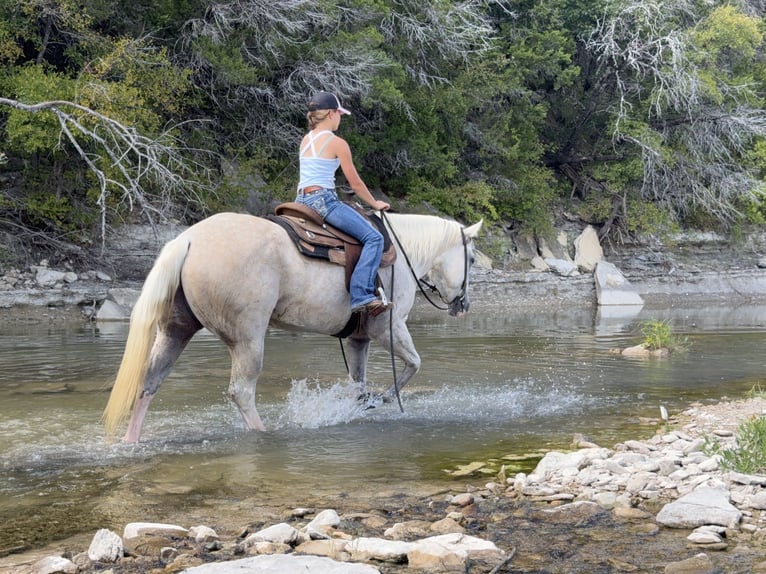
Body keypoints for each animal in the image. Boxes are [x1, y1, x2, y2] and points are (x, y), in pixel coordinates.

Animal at [102, 211, 483, 443]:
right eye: (472, 258)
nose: (463, 305)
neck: (401, 255)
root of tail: (188, 240)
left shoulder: (359, 339)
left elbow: (357, 383)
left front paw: (362, 404)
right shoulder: (388, 327)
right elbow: (414, 364)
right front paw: (385, 398)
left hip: (175, 330)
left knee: (149, 382)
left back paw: (131, 440)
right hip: (248, 338)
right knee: (242, 391)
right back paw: (263, 433)